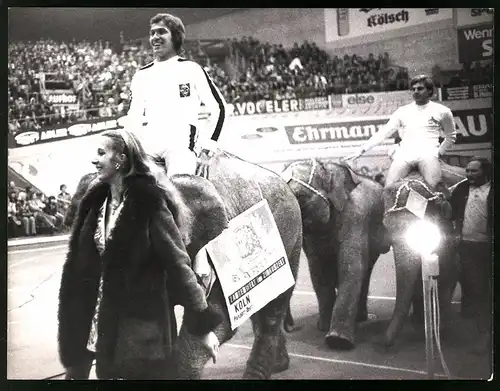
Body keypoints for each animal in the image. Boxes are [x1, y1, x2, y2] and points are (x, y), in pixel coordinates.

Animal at [282, 158, 390, 350]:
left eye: (299, 197)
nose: (291, 327)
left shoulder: (357, 215)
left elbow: (351, 266)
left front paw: (337, 341)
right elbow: (318, 270)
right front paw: (322, 328)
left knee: (365, 271)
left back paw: (360, 318)